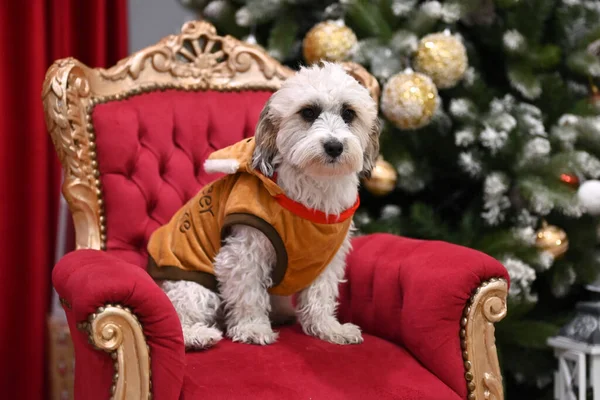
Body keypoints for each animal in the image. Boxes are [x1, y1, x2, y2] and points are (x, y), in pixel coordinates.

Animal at [149, 61, 380, 348]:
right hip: (194, 288)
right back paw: (198, 335)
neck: (313, 189)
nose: (334, 146)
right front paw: (252, 328)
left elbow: (320, 295)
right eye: (308, 112)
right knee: (178, 318)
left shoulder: (326, 258)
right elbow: (248, 293)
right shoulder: (245, 251)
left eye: (349, 113)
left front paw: (328, 328)